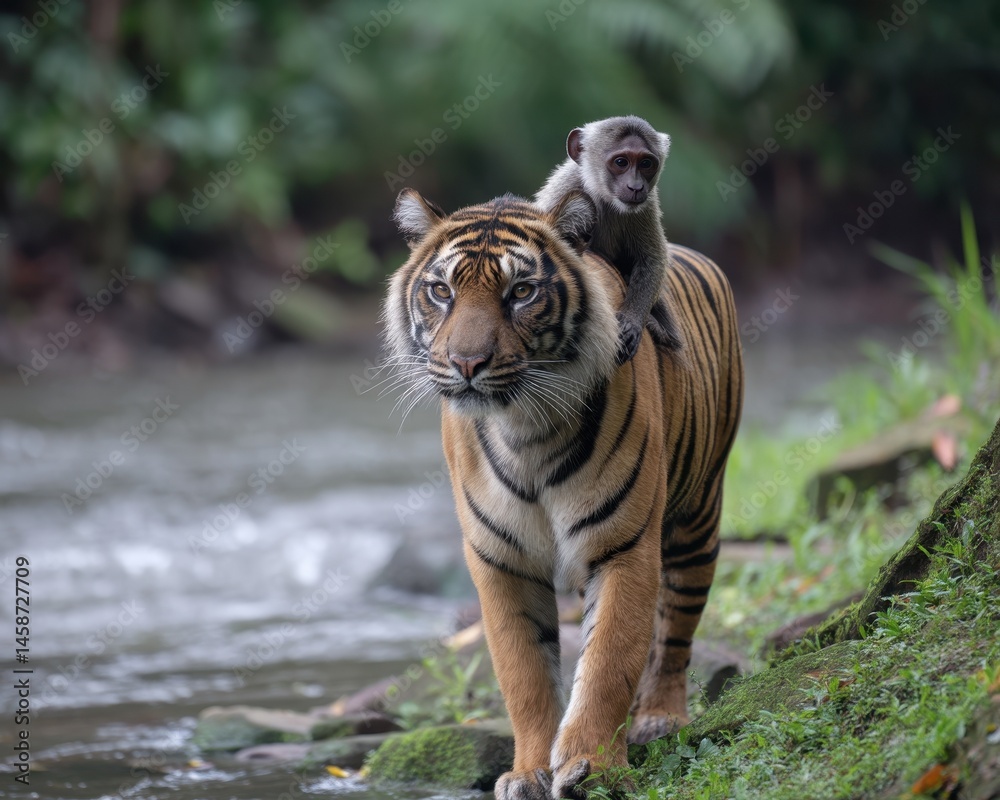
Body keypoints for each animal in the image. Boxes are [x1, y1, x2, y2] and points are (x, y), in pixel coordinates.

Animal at [383, 188, 743, 799]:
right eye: (442, 291)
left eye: (521, 292)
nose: (466, 363)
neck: (525, 431)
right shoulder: (499, 560)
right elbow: (524, 674)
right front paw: (529, 771)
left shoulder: (623, 546)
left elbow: (608, 661)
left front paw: (592, 768)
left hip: (698, 518)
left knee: (675, 630)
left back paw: (660, 716)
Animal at [535, 115, 681, 362]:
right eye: (621, 162)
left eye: (646, 164)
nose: (636, 186)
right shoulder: (565, 188)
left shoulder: (647, 203)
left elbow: (653, 259)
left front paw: (633, 319)